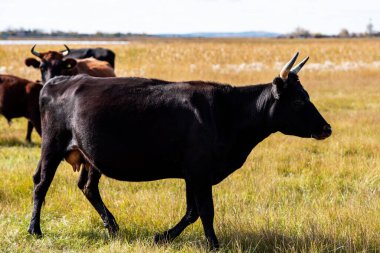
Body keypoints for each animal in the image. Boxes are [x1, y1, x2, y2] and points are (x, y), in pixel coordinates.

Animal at [29, 52, 332, 249]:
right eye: (298, 100)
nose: (326, 128)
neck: (225, 111)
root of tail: (59, 81)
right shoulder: (199, 171)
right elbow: (206, 211)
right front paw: (214, 244)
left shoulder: (192, 174)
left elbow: (192, 212)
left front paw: (161, 237)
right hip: (52, 146)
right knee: (41, 184)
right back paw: (35, 229)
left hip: (91, 157)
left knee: (88, 187)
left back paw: (113, 227)